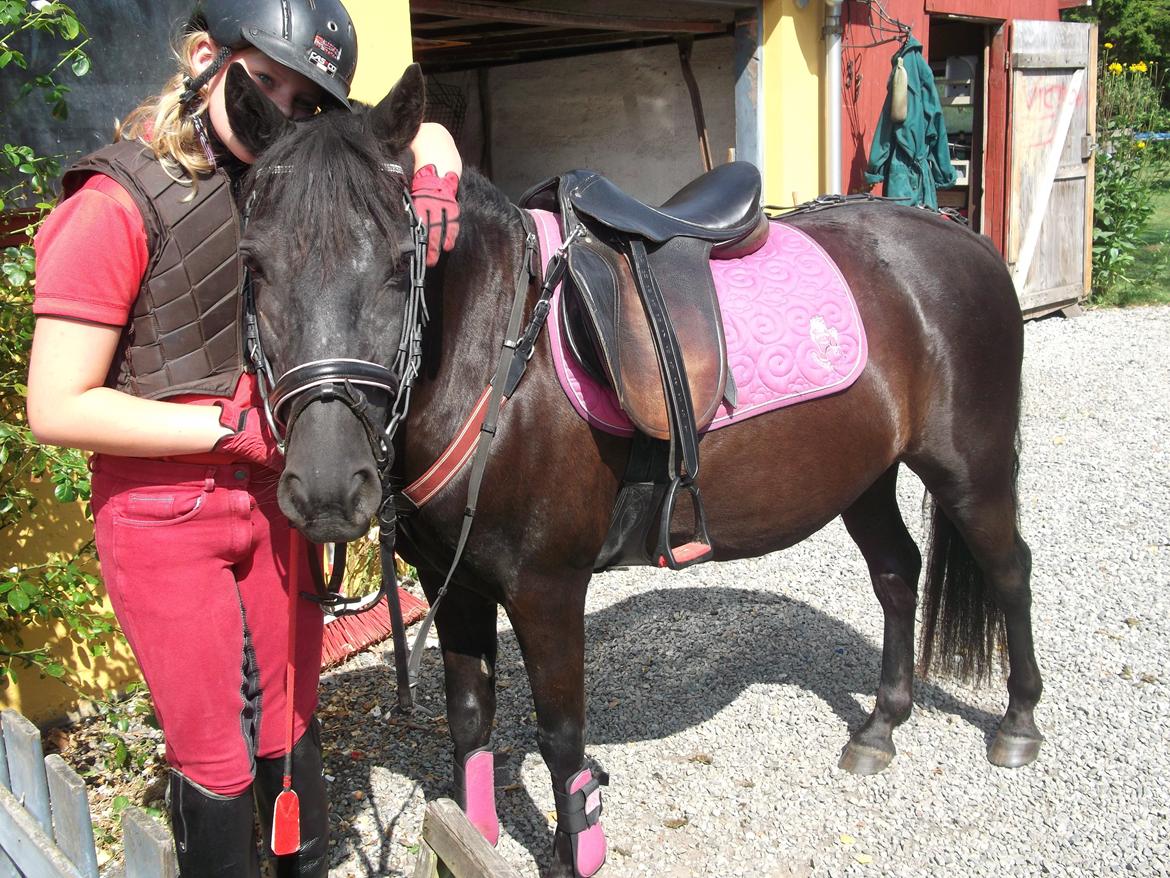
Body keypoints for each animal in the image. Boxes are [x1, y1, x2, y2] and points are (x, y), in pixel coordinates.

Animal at [225, 65, 1042, 877]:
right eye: (253, 265)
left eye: (403, 262)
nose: (328, 486)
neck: (495, 356)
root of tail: (957, 234)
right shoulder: (451, 585)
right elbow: (470, 721)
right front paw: (473, 840)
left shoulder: (546, 589)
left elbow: (562, 739)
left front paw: (574, 848)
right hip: (863, 474)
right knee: (898, 573)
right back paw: (880, 727)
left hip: (970, 469)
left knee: (1008, 569)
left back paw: (1018, 723)